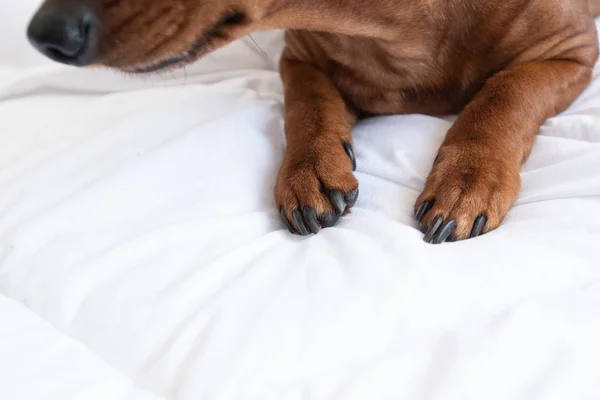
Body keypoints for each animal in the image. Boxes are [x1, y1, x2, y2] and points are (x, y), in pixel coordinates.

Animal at [27, 0, 600, 244]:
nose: (43, 33)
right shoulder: (298, 57)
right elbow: (306, 105)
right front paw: (309, 171)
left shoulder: (573, 53)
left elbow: (505, 93)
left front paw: (469, 179)